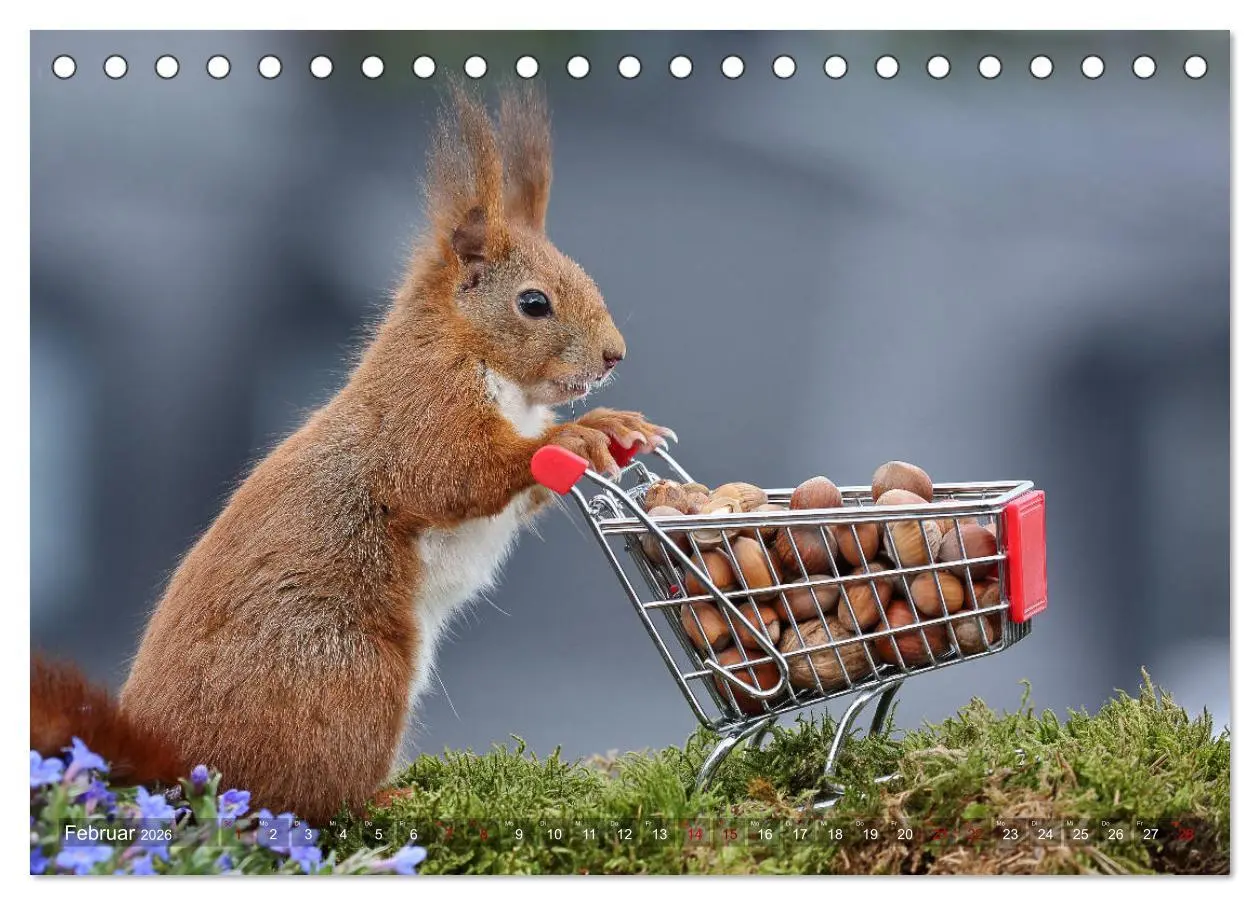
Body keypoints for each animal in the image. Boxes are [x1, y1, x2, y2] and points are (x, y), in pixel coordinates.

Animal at [31, 84, 672, 825]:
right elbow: (451, 472)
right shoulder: (421, 408)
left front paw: (615, 427)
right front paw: (573, 437)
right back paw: (385, 795)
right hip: (348, 673)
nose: (615, 355)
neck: (491, 368)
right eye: (533, 303)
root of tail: (172, 765)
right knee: (309, 798)